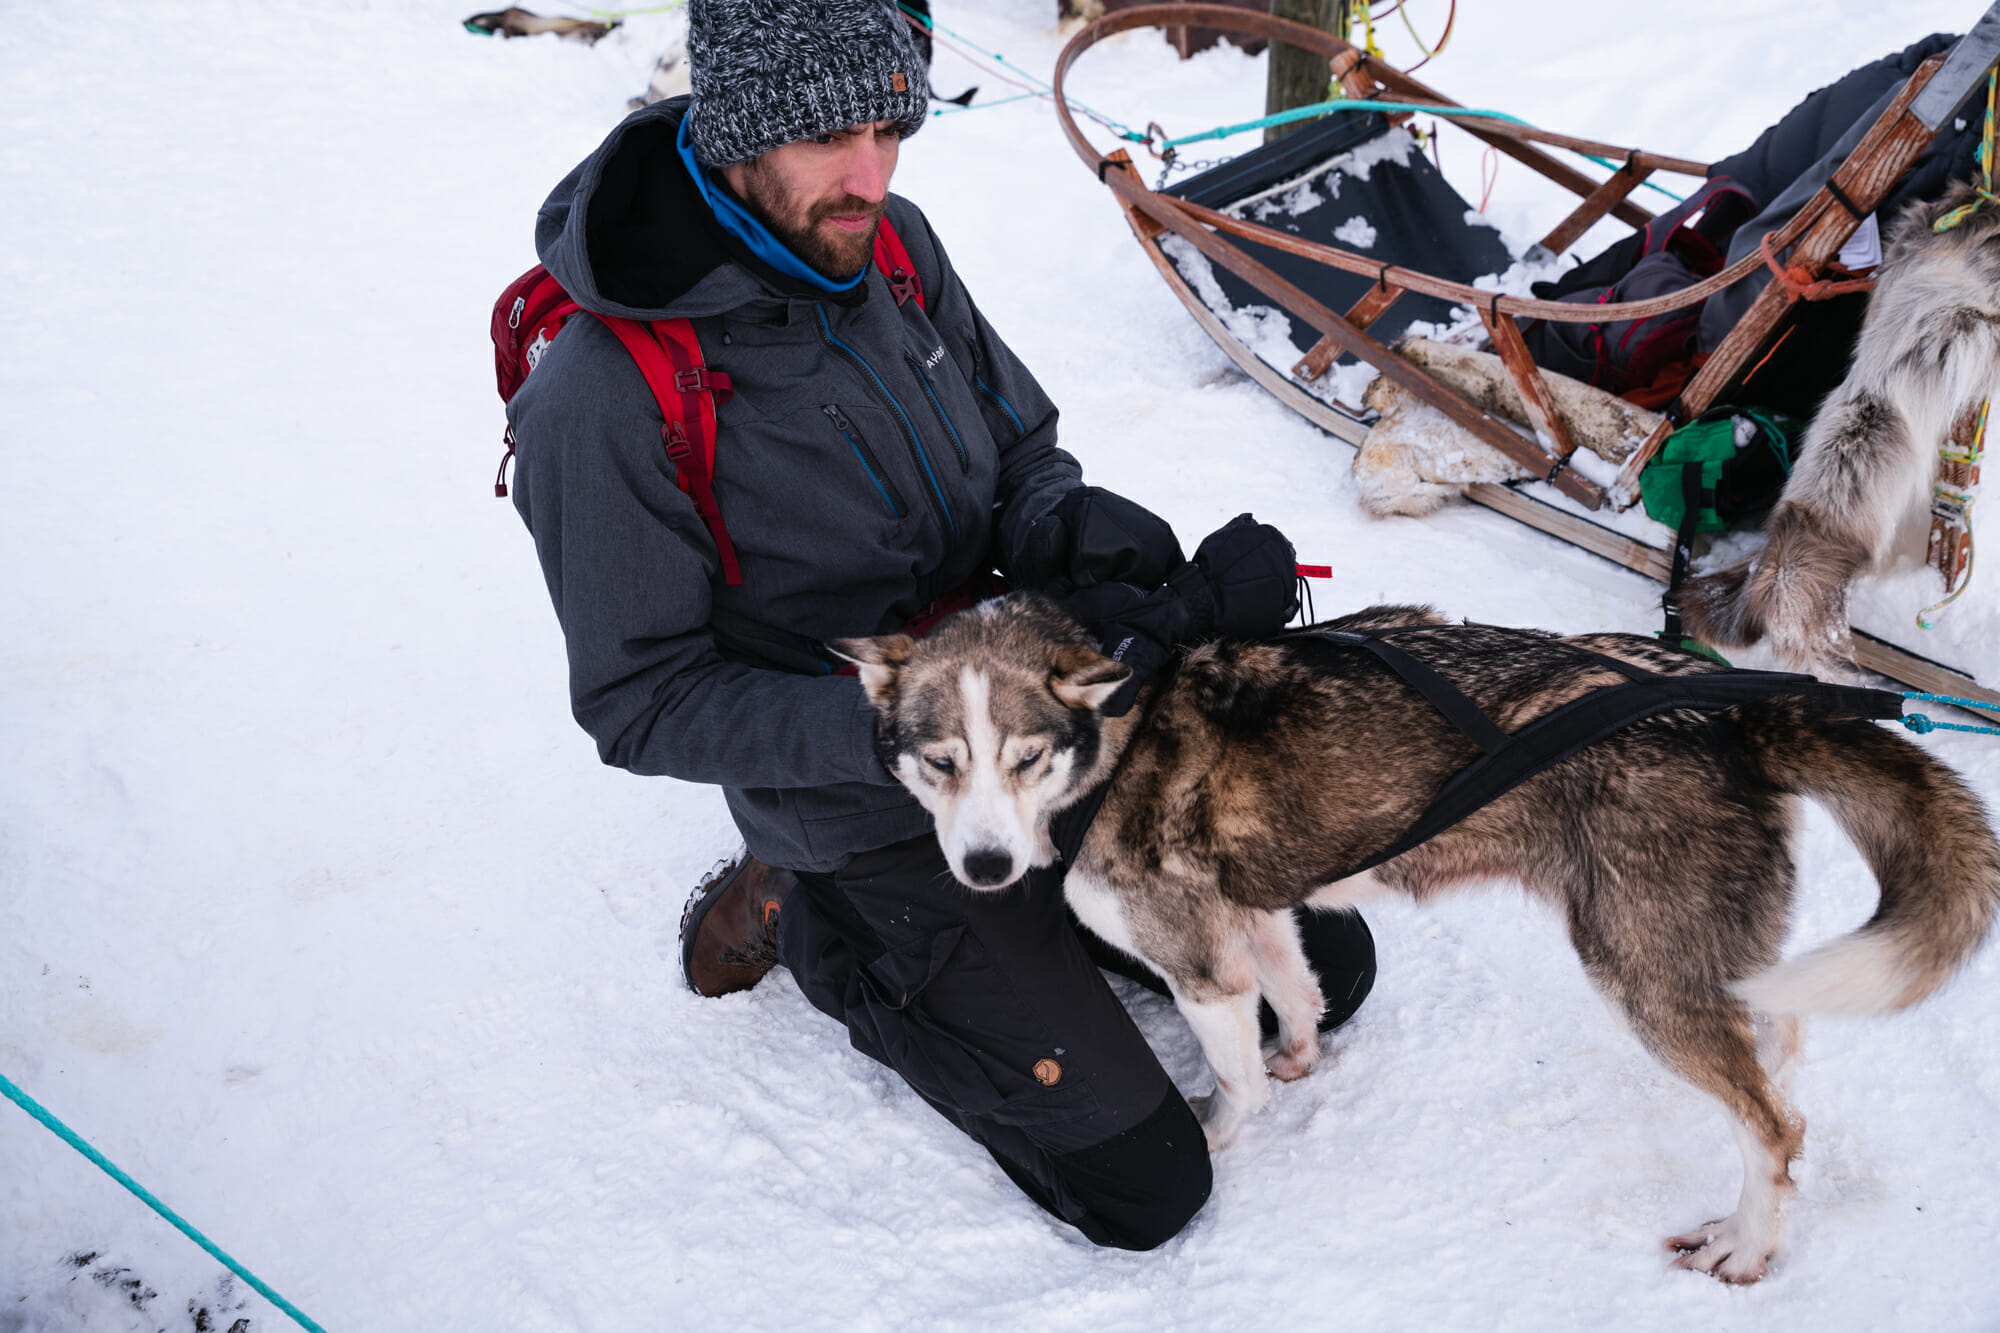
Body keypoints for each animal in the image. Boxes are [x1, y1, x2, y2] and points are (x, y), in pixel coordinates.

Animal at [836, 592, 2000, 1280]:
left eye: (1024, 757)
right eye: (940, 760)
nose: (987, 869)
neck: (1116, 735)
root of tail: (1726, 708)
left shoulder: (1196, 959)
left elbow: (1232, 1084)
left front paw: (1226, 1126)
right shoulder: (1255, 911)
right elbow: (1298, 991)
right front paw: (1303, 1054)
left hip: (1642, 972)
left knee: (1772, 1124)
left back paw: (1748, 1247)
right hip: (1722, 964)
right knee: (1781, 1066)